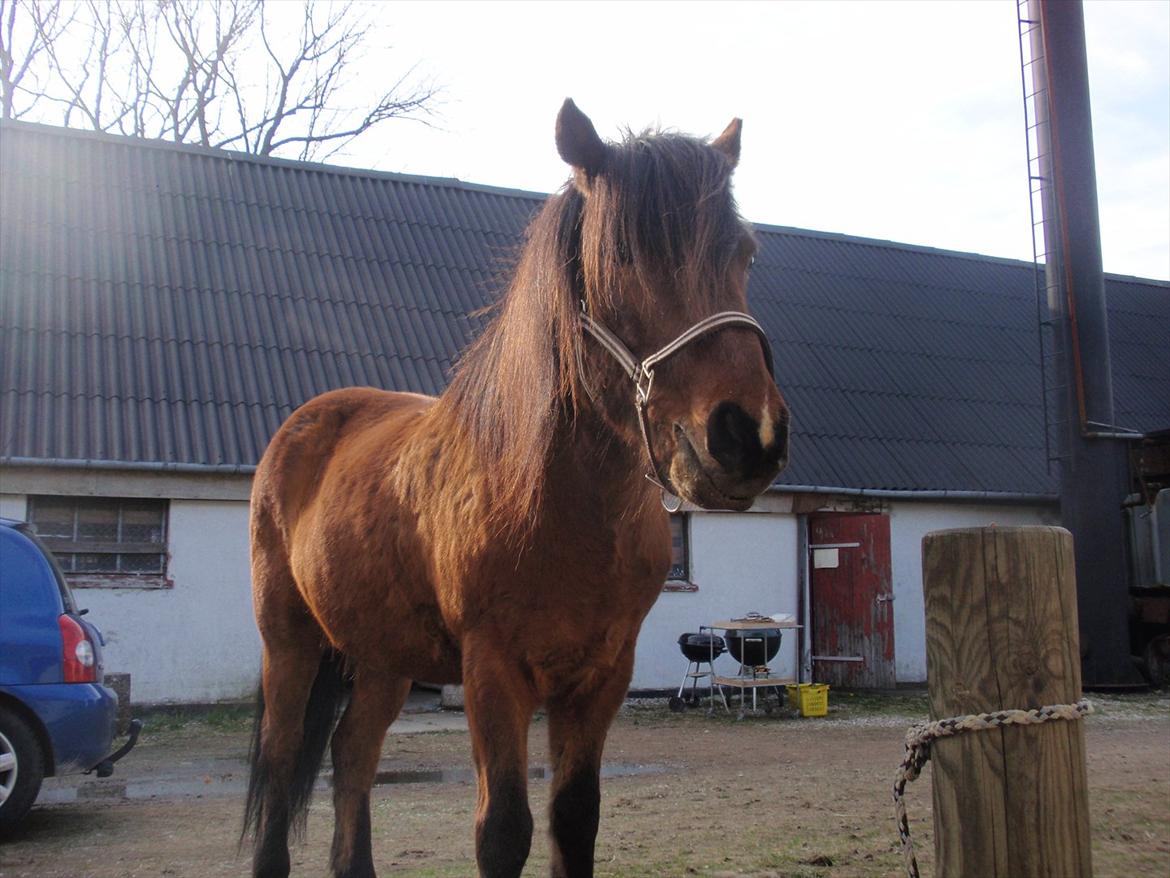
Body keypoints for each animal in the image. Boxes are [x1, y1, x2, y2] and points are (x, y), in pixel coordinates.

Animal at [244, 99, 795, 878]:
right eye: (623, 256)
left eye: (744, 252)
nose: (747, 436)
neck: (556, 502)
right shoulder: (492, 671)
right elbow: (503, 828)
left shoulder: (601, 676)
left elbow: (575, 817)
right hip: (289, 641)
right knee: (283, 759)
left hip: (381, 657)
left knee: (352, 755)